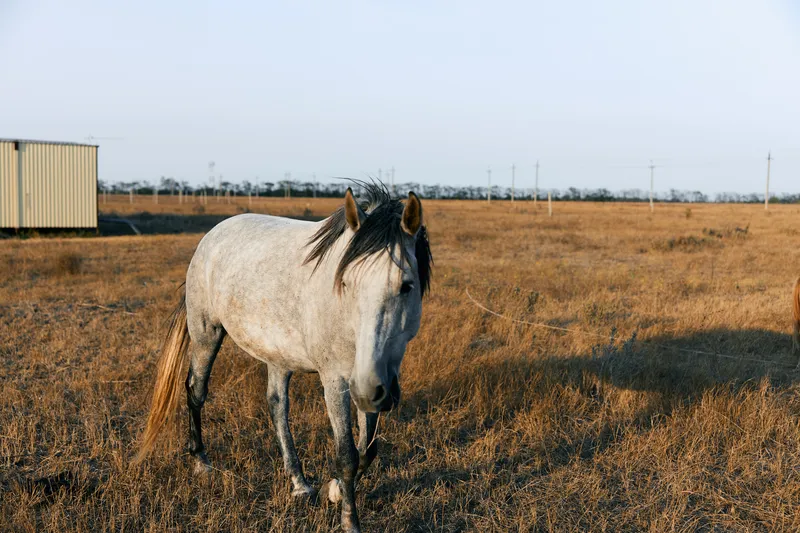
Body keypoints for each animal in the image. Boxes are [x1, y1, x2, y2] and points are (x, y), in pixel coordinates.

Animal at [134, 182, 432, 533]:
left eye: (406, 286)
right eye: (346, 282)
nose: (367, 389)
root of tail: (212, 236)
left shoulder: (374, 379)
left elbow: (367, 451)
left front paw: (332, 490)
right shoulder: (337, 380)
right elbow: (347, 455)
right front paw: (348, 519)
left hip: (278, 357)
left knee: (277, 406)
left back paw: (299, 483)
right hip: (207, 333)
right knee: (196, 391)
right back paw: (201, 462)